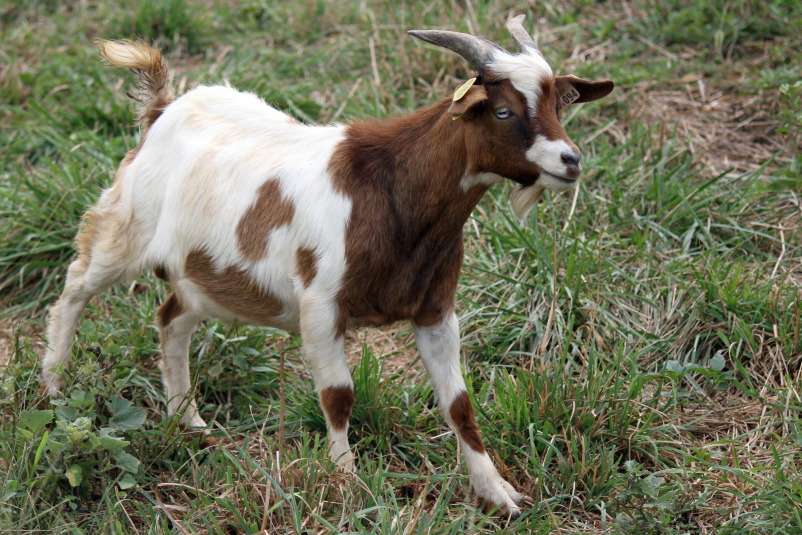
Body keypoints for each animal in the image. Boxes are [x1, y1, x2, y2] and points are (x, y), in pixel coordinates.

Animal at [42, 15, 613, 515]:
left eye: (558, 105)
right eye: (502, 112)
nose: (570, 161)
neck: (390, 190)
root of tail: (163, 109)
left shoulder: (436, 310)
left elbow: (458, 404)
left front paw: (498, 493)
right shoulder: (320, 308)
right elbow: (338, 397)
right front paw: (348, 484)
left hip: (204, 274)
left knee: (171, 321)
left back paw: (189, 420)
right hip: (125, 229)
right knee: (74, 289)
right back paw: (53, 389)